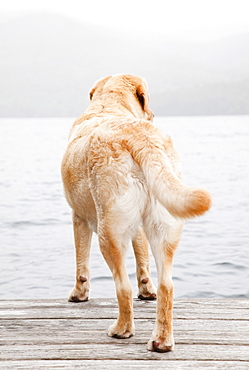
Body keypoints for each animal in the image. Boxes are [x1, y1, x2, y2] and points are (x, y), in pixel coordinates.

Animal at [61, 73, 211, 352]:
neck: (109, 106)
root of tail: (141, 137)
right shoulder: (140, 228)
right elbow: (143, 260)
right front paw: (146, 289)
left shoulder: (79, 217)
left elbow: (81, 263)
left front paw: (79, 294)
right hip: (164, 223)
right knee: (167, 285)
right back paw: (161, 340)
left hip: (110, 232)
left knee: (123, 287)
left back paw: (122, 329)